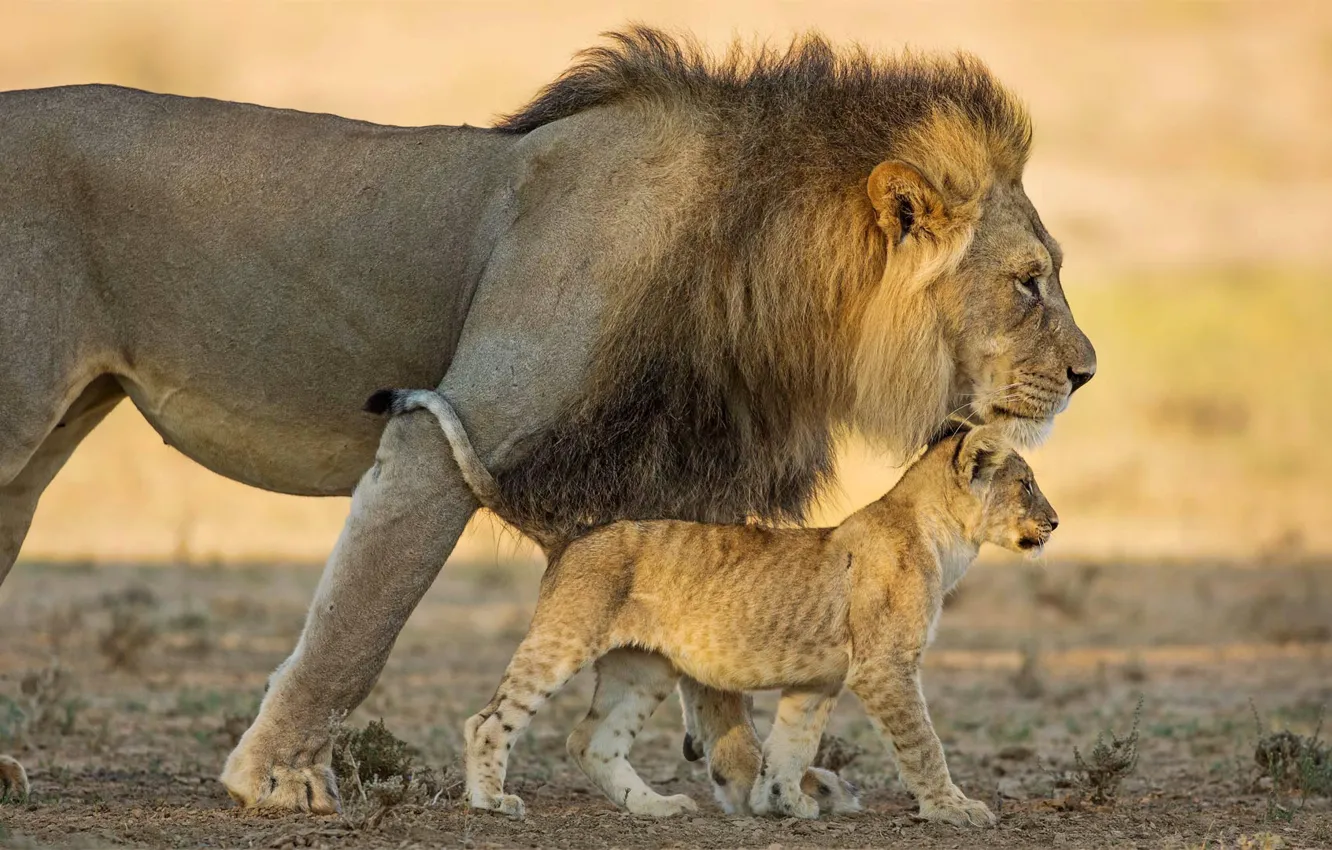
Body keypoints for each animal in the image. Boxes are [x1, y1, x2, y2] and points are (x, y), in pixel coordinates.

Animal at [436, 401, 1056, 823]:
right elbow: (923, 743)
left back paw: (657, 807)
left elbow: (790, 745)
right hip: (564, 639)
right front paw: (954, 807)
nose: (1053, 523)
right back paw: (491, 800)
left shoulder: (818, 681)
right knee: (489, 720)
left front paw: (785, 802)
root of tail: (573, 535)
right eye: (1026, 484)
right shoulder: (885, 667)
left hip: (642, 668)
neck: (944, 542)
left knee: (590, 740)